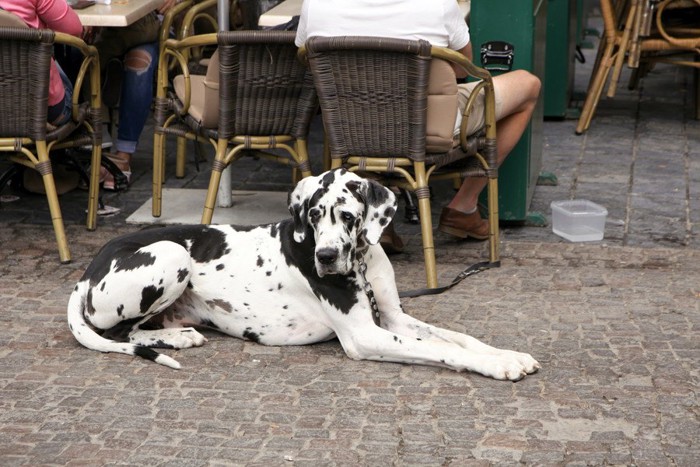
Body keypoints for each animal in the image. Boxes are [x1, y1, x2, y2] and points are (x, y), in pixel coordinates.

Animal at [65, 170, 540, 382]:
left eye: (347, 216)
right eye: (313, 214)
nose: (326, 256)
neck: (360, 260)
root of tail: (86, 273)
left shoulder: (393, 317)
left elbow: (459, 338)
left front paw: (508, 354)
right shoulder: (365, 335)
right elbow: (443, 351)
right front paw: (497, 366)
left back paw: (178, 334)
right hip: (170, 254)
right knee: (124, 333)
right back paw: (175, 339)